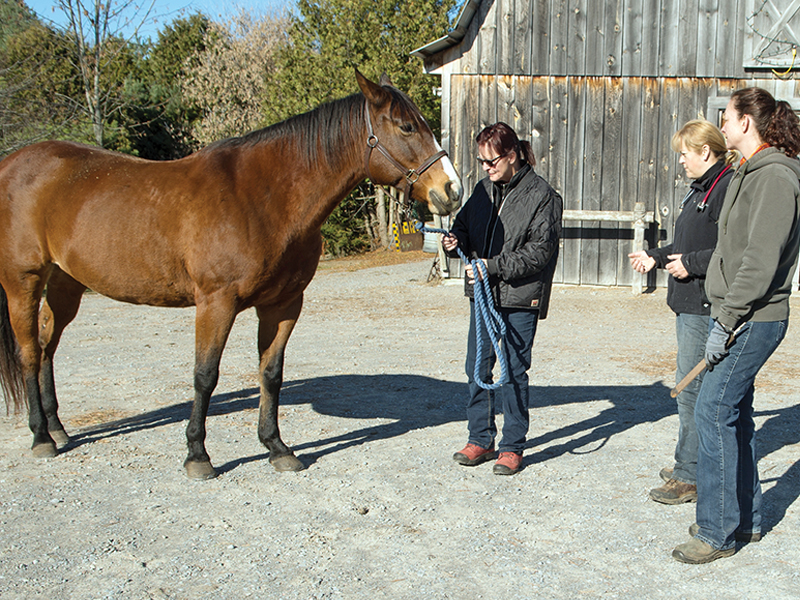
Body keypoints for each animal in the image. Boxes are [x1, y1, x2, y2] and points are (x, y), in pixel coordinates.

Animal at [0, 70, 462, 480]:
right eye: (406, 126)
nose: (451, 189)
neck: (263, 196)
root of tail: (13, 163)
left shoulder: (283, 304)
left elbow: (271, 374)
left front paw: (277, 447)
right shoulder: (215, 303)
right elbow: (205, 376)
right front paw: (197, 456)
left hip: (66, 283)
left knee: (47, 346)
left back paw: (58, 429)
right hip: (23, 282)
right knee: (29, 351)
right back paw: (41, 437)